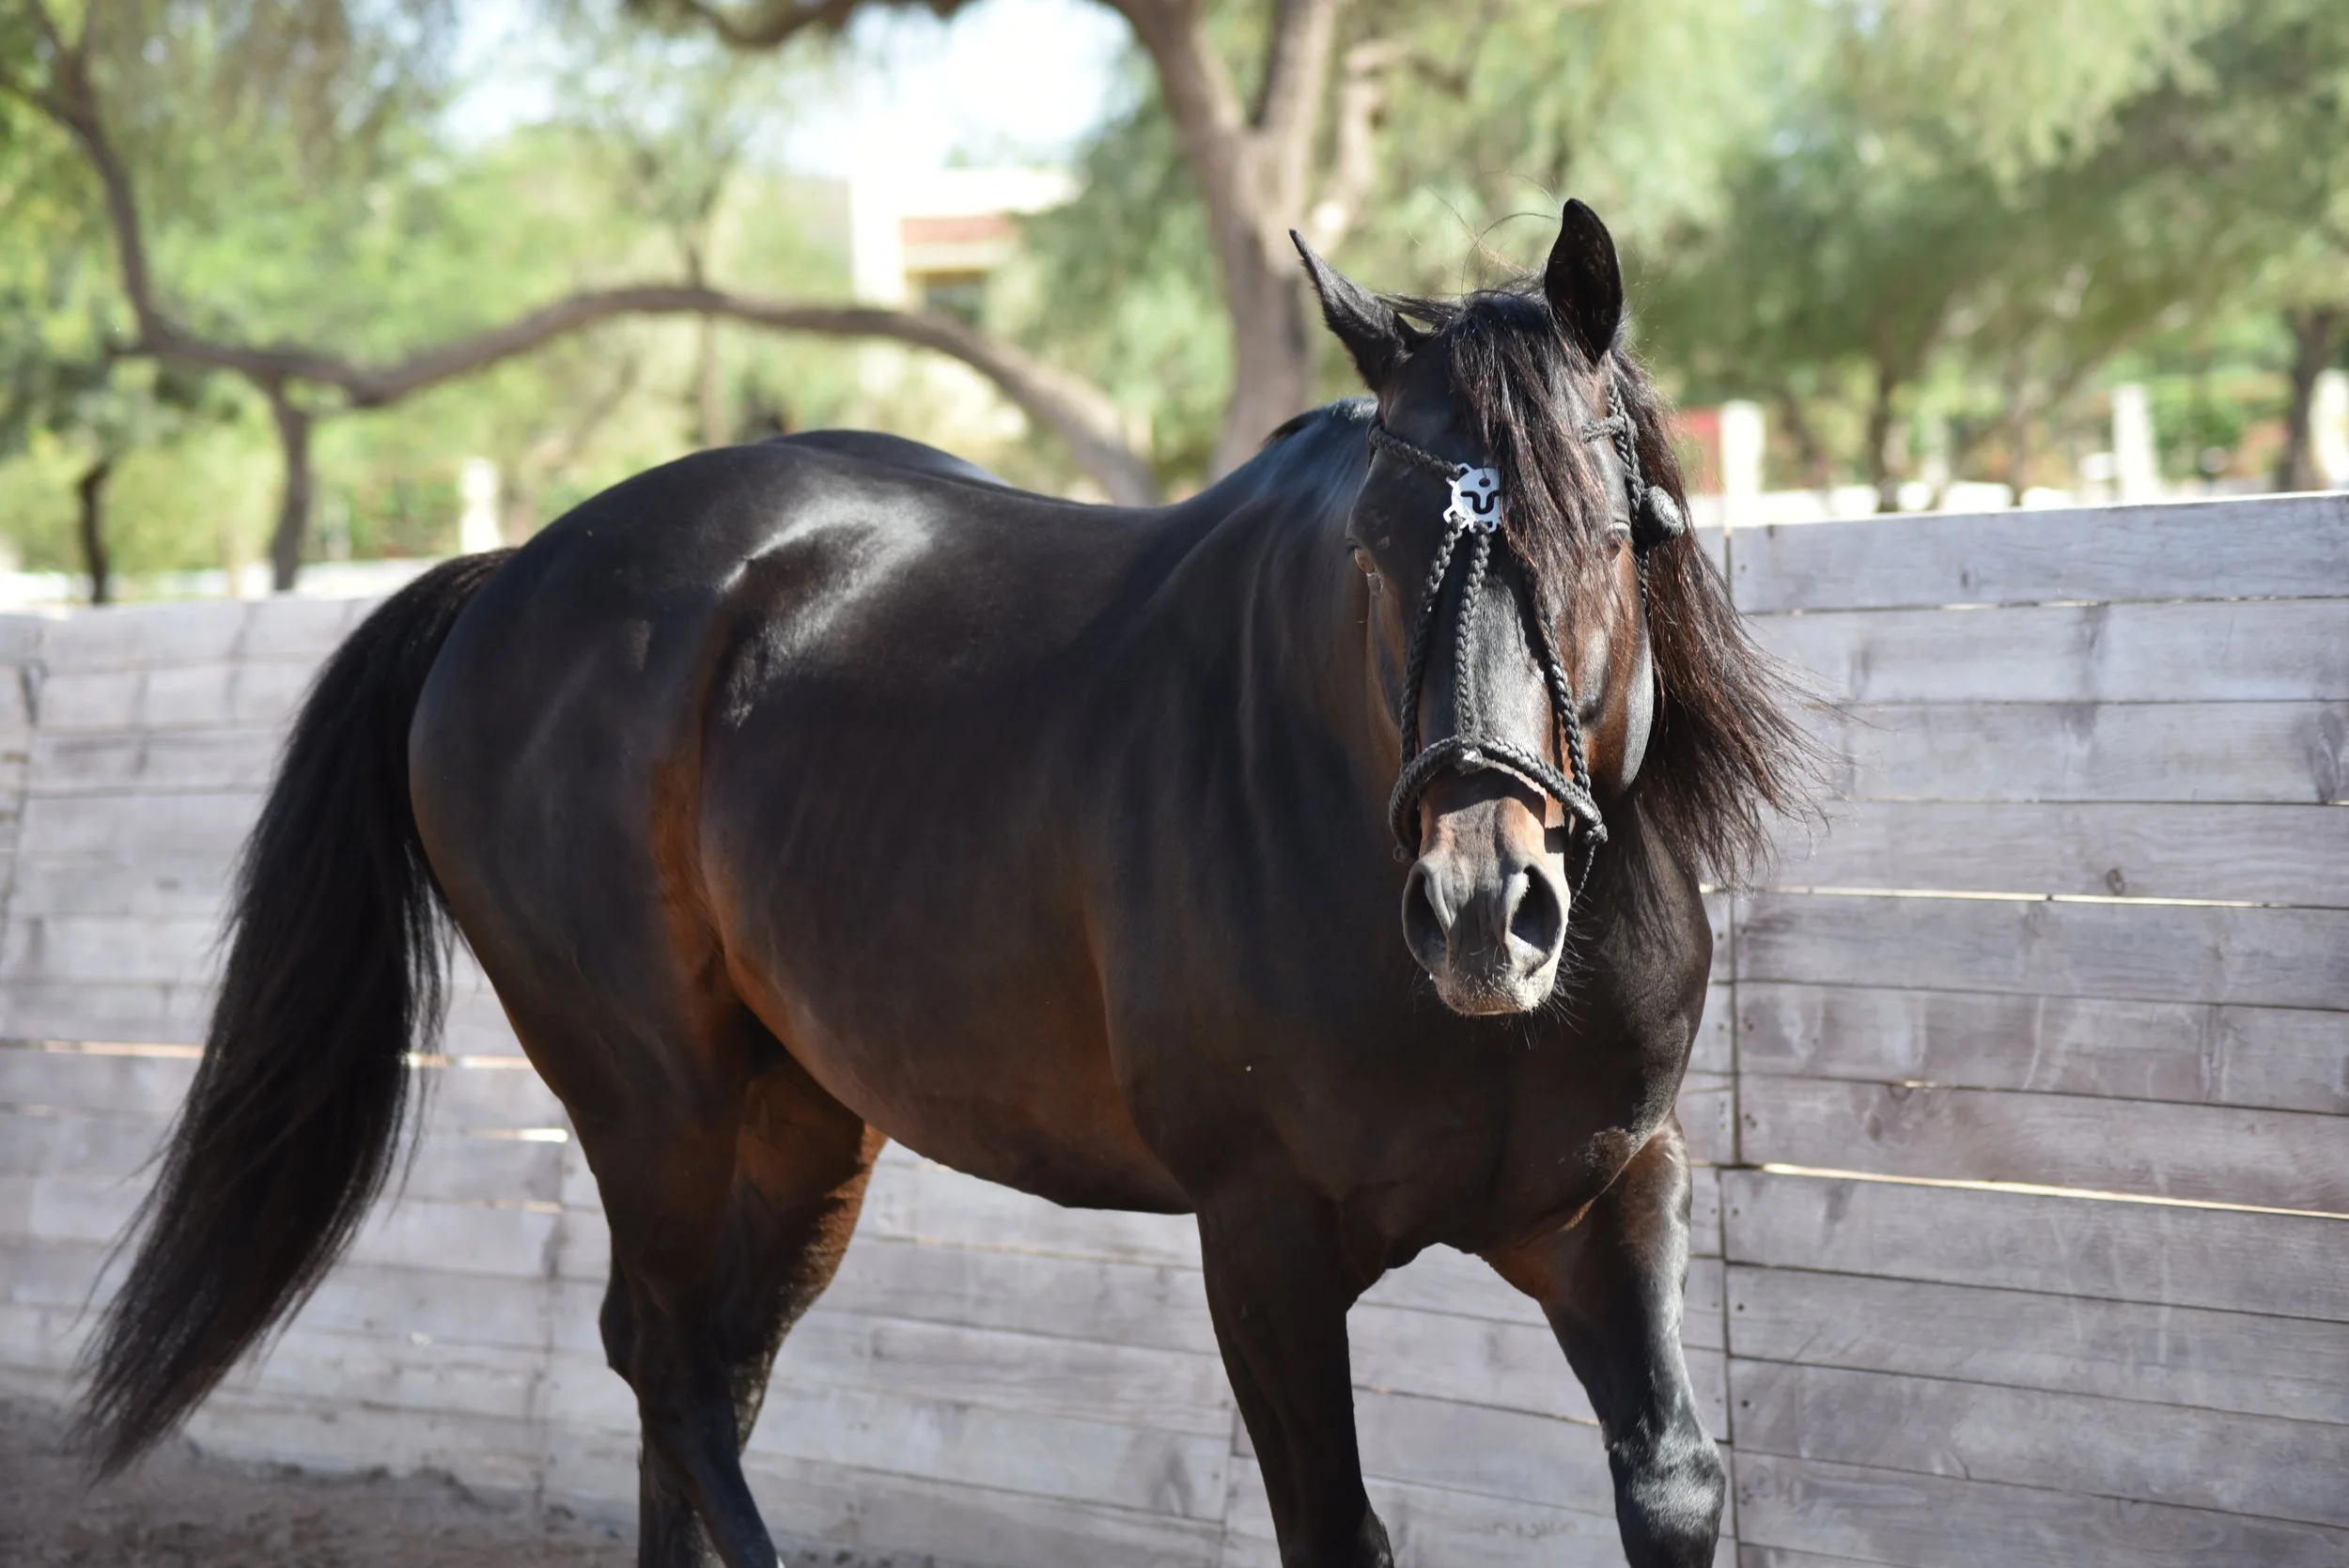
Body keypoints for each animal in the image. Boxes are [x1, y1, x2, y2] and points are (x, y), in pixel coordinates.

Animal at [78, 201, 1815, 1568]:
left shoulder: (1602, 1194)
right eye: (1374, 554)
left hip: (801, 1114)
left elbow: (1673, 1483)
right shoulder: (1262, 1239)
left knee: (699, 1369)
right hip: (653, 1097)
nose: (1475, 910)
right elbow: (1337, 1528)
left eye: (1602, 535)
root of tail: (512, 579)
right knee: (673, 1371)